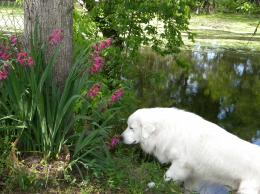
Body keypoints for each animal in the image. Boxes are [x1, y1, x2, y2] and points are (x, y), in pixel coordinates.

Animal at [121, 107, 260, 194]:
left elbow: (166, 178)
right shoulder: (193, 174)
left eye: (131, 128)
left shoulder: (180, 165)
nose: (120, 137)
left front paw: (155, 186)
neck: (165, 130)